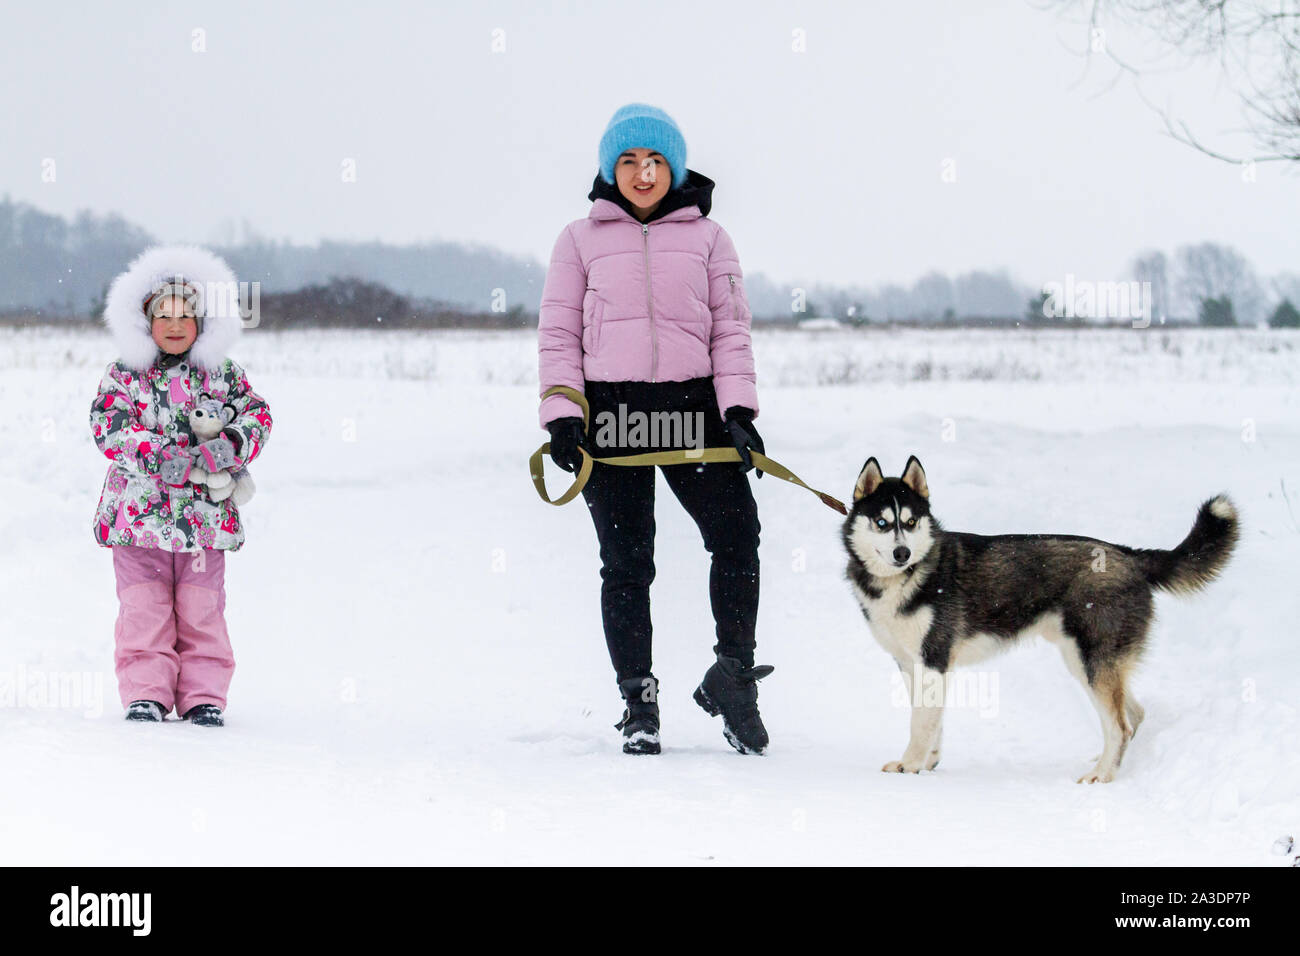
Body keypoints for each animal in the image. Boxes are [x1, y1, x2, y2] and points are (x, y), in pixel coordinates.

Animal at [842, 457, 1237, 785]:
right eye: (882, 523)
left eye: (910, 522)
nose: (902, 552)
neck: (906, 577)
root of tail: (1130, 557)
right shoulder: (913, 665)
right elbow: (931, 721)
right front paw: (927, 763)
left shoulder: (934, 660)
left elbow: (920, 723)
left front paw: (909, 766)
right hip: (1085, 662)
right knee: (1134, 715)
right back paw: (1112, 763)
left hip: (1091, 662)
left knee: (1120, 725)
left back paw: (1102, 775)